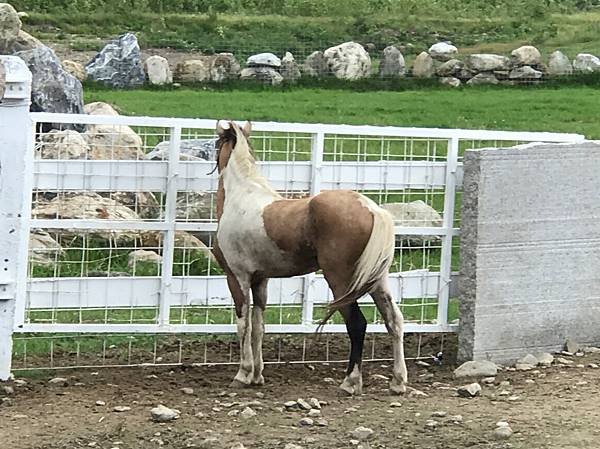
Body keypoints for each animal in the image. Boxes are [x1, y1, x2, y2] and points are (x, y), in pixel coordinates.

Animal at [211, 120, 408, 396]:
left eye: (216, 143)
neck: (242, 197)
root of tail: (372, 209)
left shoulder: (237, 277)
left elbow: (243, 326)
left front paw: (243, 374)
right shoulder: (260, 280)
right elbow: (259, 327)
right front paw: (258, 376)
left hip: (340, 282)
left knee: (357, 324)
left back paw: (350, 382)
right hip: (377, 281)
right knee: (394, 321)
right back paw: (398, 382)